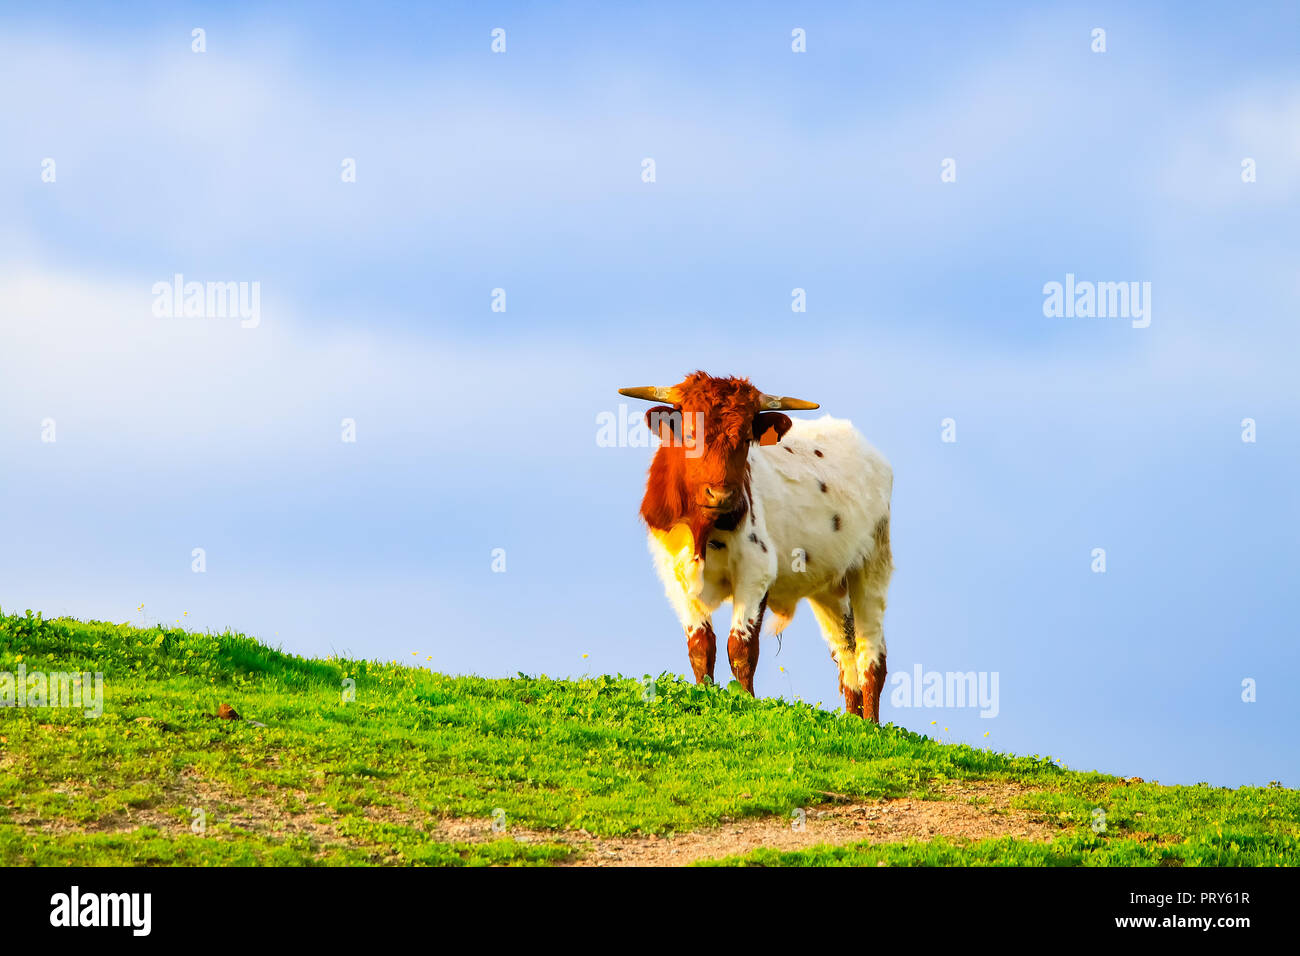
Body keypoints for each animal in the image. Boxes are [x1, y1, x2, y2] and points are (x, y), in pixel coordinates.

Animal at [620, 372, 894, 721]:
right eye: (690, 434)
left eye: (746, 437)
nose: (720, 495)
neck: (702, 530)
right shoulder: (673, 573)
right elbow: (701, 644)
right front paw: (705, 694)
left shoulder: (756, 569)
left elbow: (741, 646)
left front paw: (746, 701)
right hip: (829, 585)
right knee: (846, 651)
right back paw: (852, 720)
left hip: (873, 564)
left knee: (871, 653)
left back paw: (871, 724)